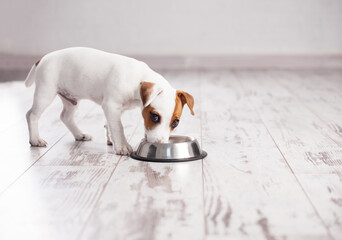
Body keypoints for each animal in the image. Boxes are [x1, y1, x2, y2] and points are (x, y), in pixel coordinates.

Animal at [25, 47, 194, 156]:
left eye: (175, 122)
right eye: (154, 116)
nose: (159, 144)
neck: (136, 80)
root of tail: (43, 58)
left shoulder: (115, 109)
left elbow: (110, 125)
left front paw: (111, 140)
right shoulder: (111, 106)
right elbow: (118, 127)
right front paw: (122, 146)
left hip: (71, 99)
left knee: (65, 116)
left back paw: (80, 134)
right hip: (46, 92)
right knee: (32, 115)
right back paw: (35, 140)